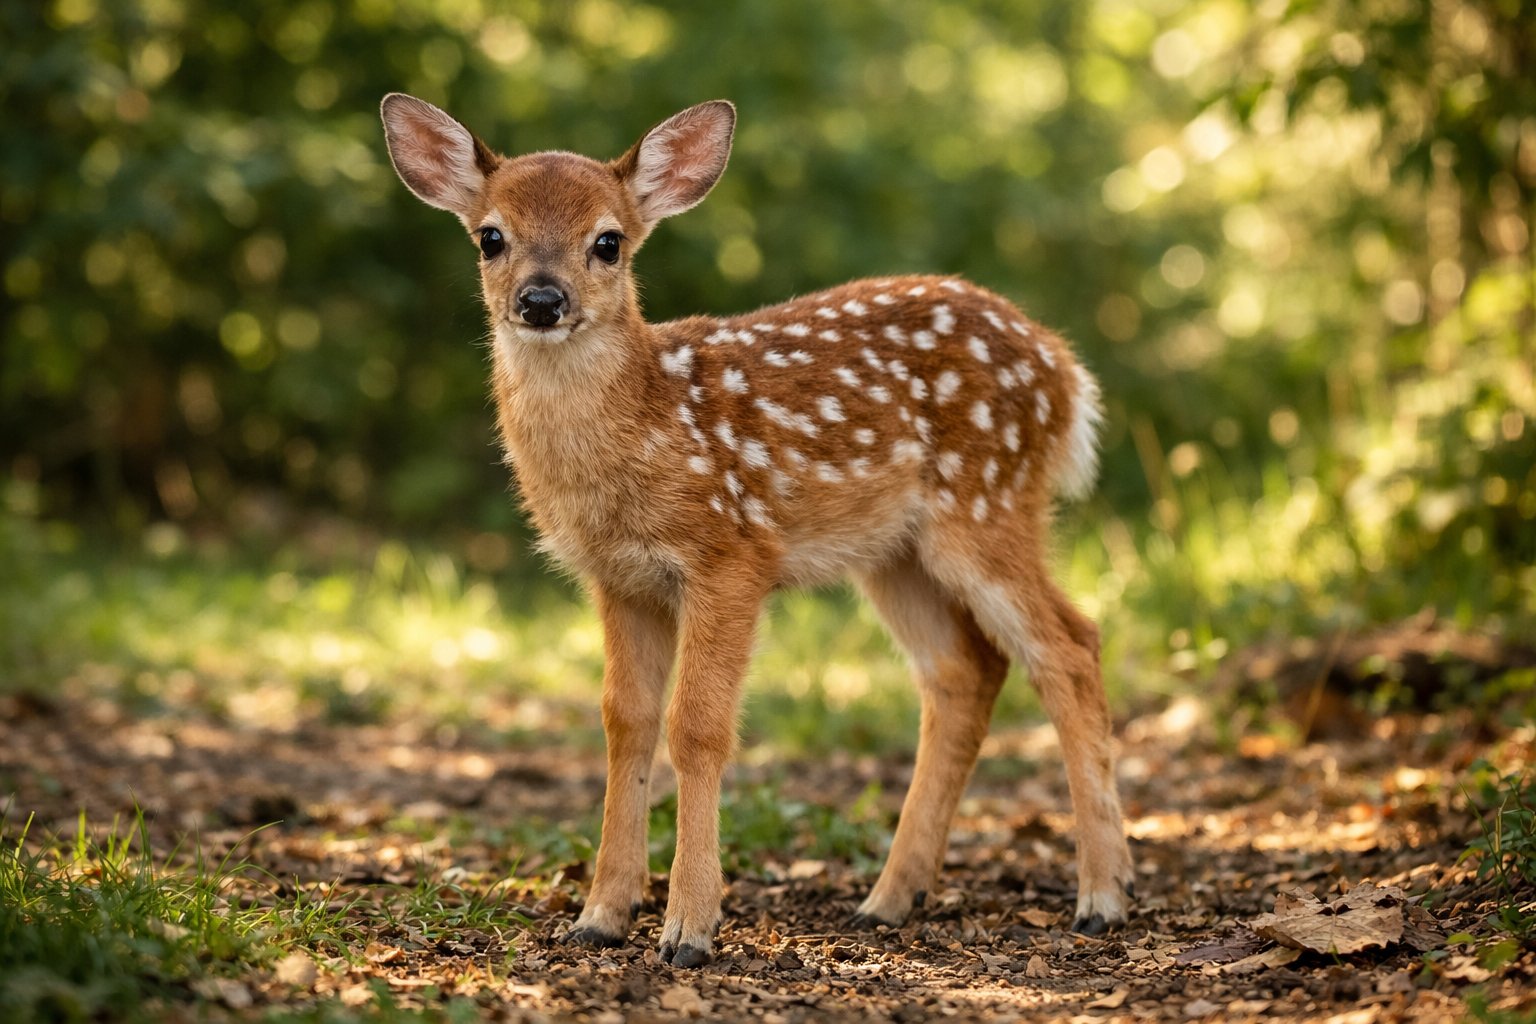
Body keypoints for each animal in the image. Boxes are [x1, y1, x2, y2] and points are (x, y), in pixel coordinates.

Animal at [380, 93, 1135, 967]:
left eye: (608, 242)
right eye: (490, 236)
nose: (541, 301)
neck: (644, 431)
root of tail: (1064, 371)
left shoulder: (730, 553)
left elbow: (698, 726)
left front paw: (689, 929)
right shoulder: (619, 578)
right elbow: (625, 722)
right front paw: (600, 914)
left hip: (987, 504)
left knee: (1069, 645)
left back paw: (1102, 897)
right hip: (894, 553)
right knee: (964, 672)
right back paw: (888, 899)